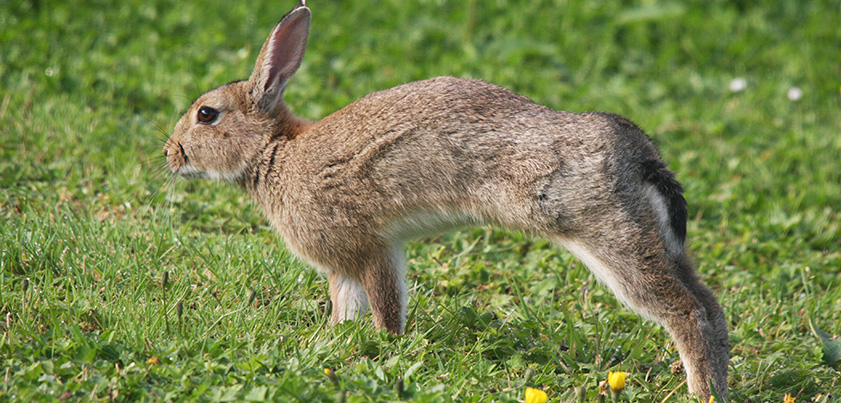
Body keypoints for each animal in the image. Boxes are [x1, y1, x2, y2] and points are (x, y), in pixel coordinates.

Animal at [163, 1, 728, 399]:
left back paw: (699, 391)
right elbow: (345, 307)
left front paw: (385, 349)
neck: (275, 152)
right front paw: (335, 343)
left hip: (609, 235)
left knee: (685, 313)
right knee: (710, 305)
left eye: (206, 114)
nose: (170, 153)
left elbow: (385, 305)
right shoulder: (346, 263)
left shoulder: (371, 248)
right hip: (658, 240)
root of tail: (639, 156)